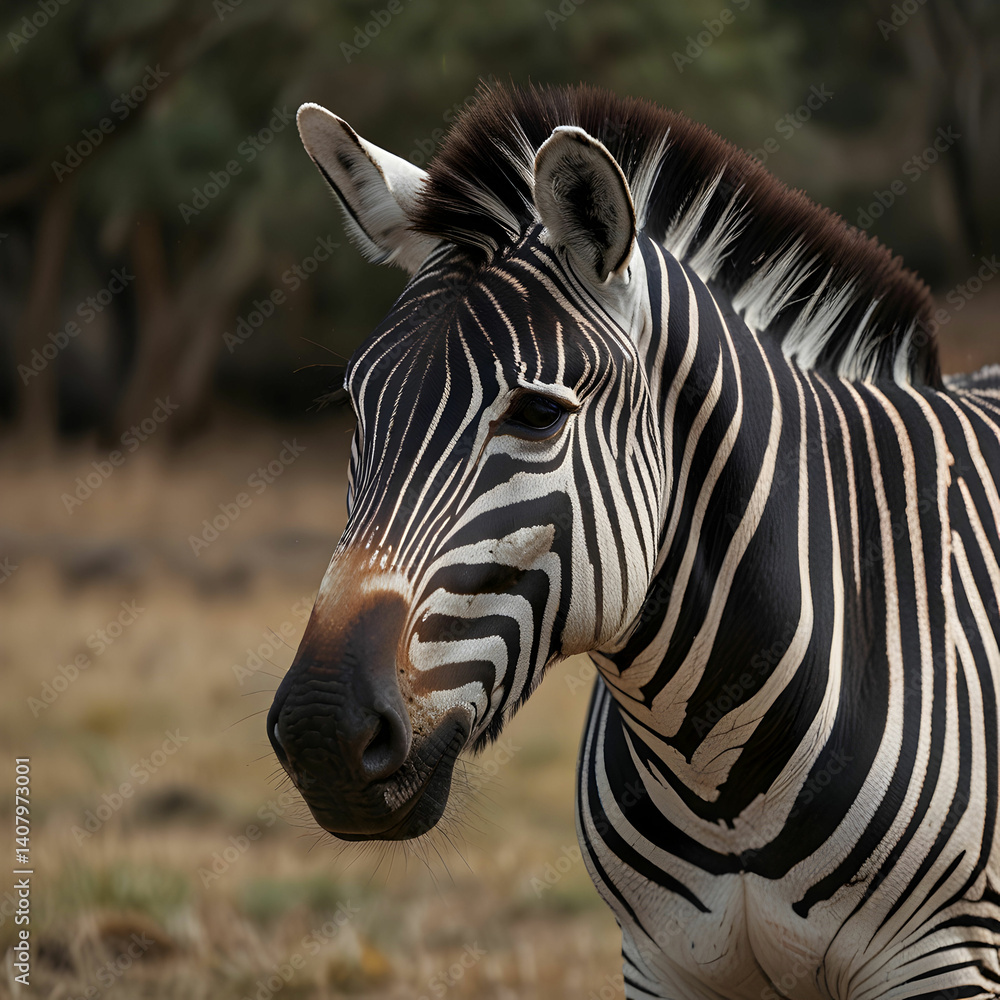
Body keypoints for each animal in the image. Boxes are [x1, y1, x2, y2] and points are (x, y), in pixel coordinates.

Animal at [267, 82, 1000, 999]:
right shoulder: (662, 964)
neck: (719, 779)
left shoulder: (943, 960)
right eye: (360, 407)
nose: (321, 733)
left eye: (537, 413)